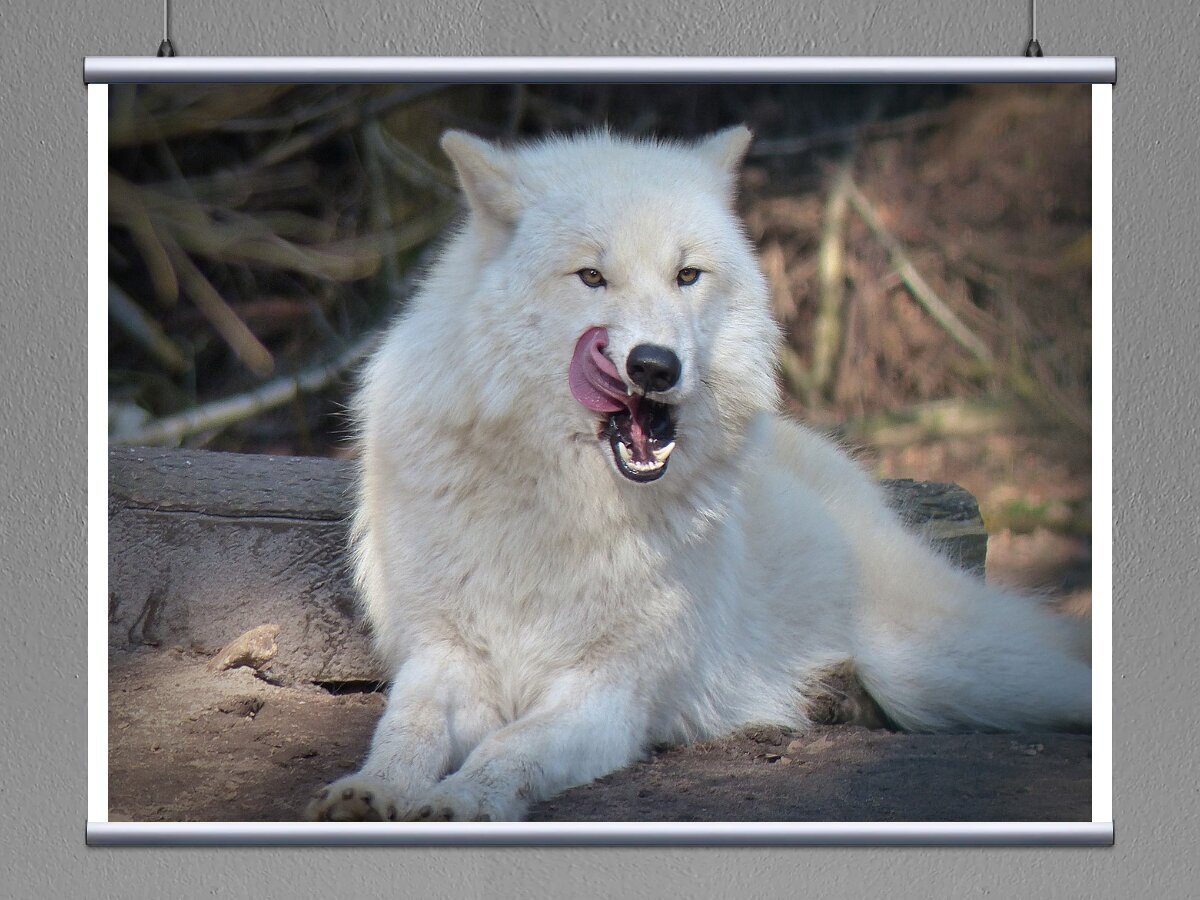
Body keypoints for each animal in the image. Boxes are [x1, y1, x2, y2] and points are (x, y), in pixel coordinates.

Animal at [304, 125, 1094, 825]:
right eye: (591, 276)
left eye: (687, 275)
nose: (655, 366)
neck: (561, 503)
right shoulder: (444, 655)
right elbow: (405, 731)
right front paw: (368, 791)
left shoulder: (608, 692)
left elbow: (509, 747)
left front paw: (463, 799)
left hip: (943, 668)